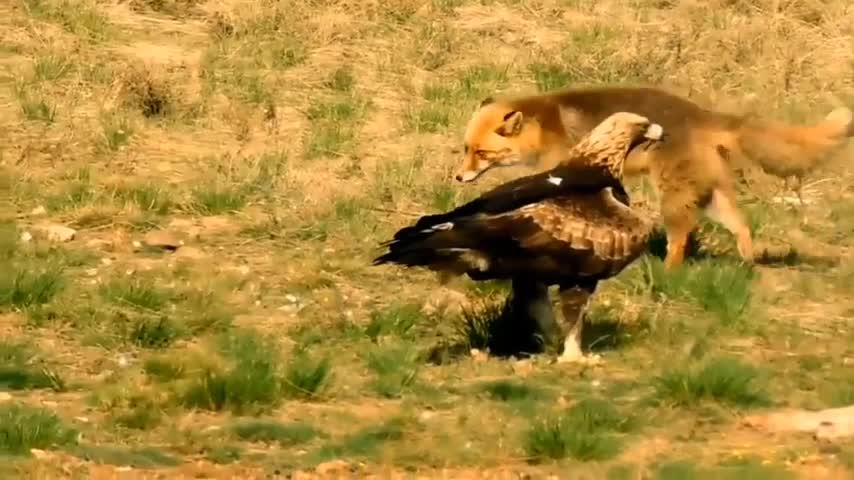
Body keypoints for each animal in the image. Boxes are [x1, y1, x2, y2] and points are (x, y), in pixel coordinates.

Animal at [458, 86, 852, 270]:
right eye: (466, 148)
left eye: (482, 153)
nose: (460, 177)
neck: (545, 125)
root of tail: (703, 114)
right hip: (712, 197)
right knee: (742, 226)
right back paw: (747, 265)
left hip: (674, 196)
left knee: (680, 238)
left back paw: (668, 271)